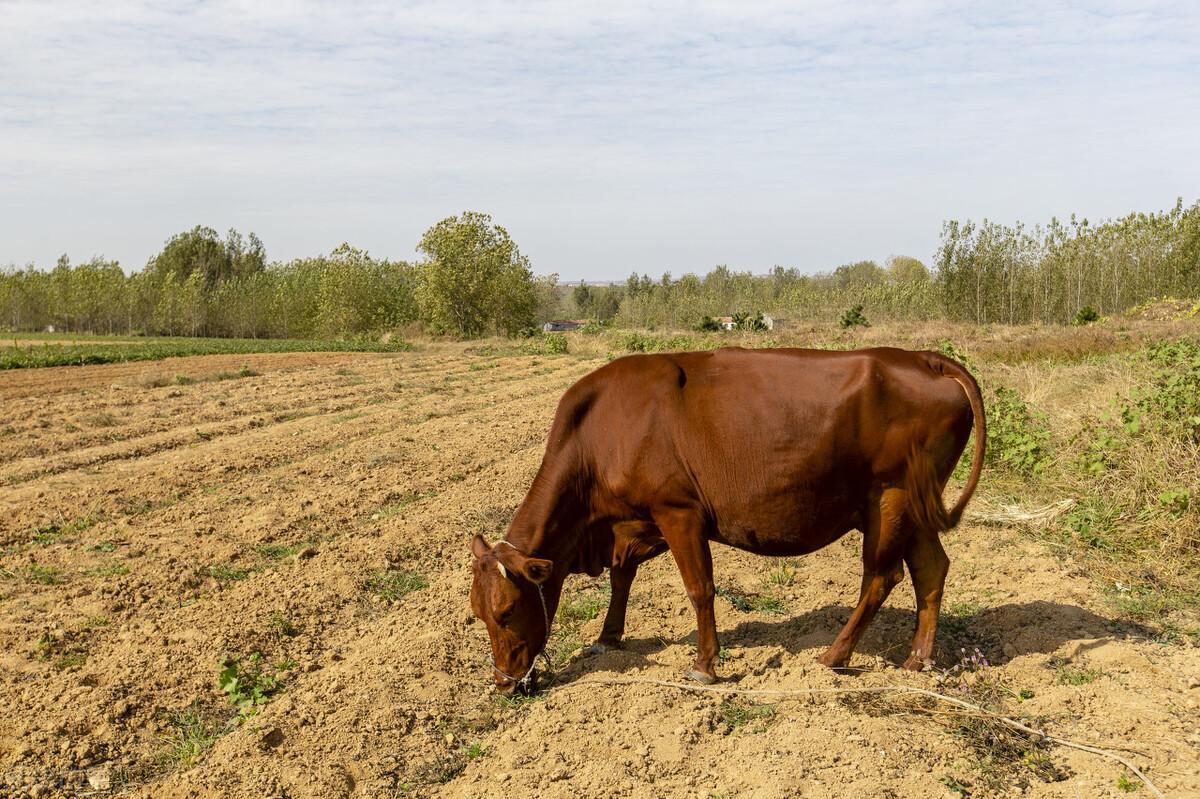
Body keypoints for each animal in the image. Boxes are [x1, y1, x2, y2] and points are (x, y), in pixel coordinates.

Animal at [468, 347, 984, 691]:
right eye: (477, 614)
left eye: (506, 611)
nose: (504, 682)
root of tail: (921, 357)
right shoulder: (630, 524)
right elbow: (621, 578)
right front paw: (608, 637)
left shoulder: (678, 512)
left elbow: (700, 590)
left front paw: (704, 667)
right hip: (915, 505)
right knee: (931, 569)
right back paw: (918, 662)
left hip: (890, 499)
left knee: (881, 576)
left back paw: (834, 656)